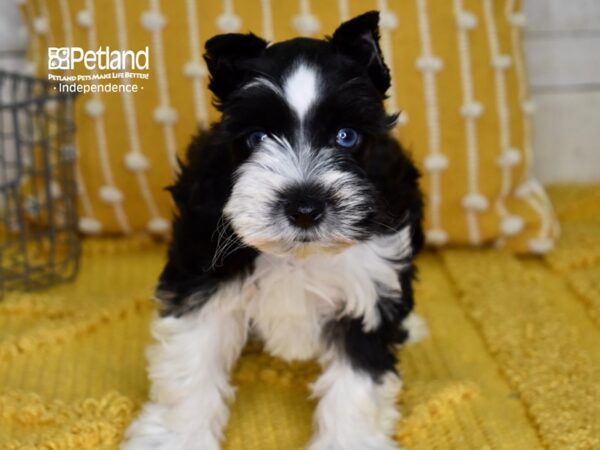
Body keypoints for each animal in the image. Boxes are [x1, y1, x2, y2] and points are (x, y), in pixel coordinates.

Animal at [120, 10, 422, 450]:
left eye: (346, 136)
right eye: (258, 137)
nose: (304, 207)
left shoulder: (371, 285)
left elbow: (357, 383)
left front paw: (348, 438)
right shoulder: (203, 276)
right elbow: (191, 363)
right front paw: (177, 436)